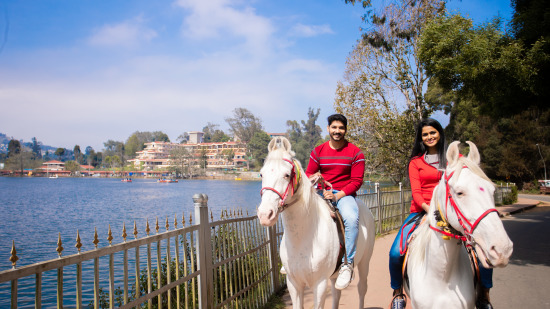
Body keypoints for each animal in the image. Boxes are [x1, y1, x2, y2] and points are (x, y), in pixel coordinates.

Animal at [256, 137, 378, 308]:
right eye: (261, 174)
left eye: (287, 175)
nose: (265, 214)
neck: (303, 237)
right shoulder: (293, 284)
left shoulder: (319, 285)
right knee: (336, 295)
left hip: (364, 262)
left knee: (362, 289)